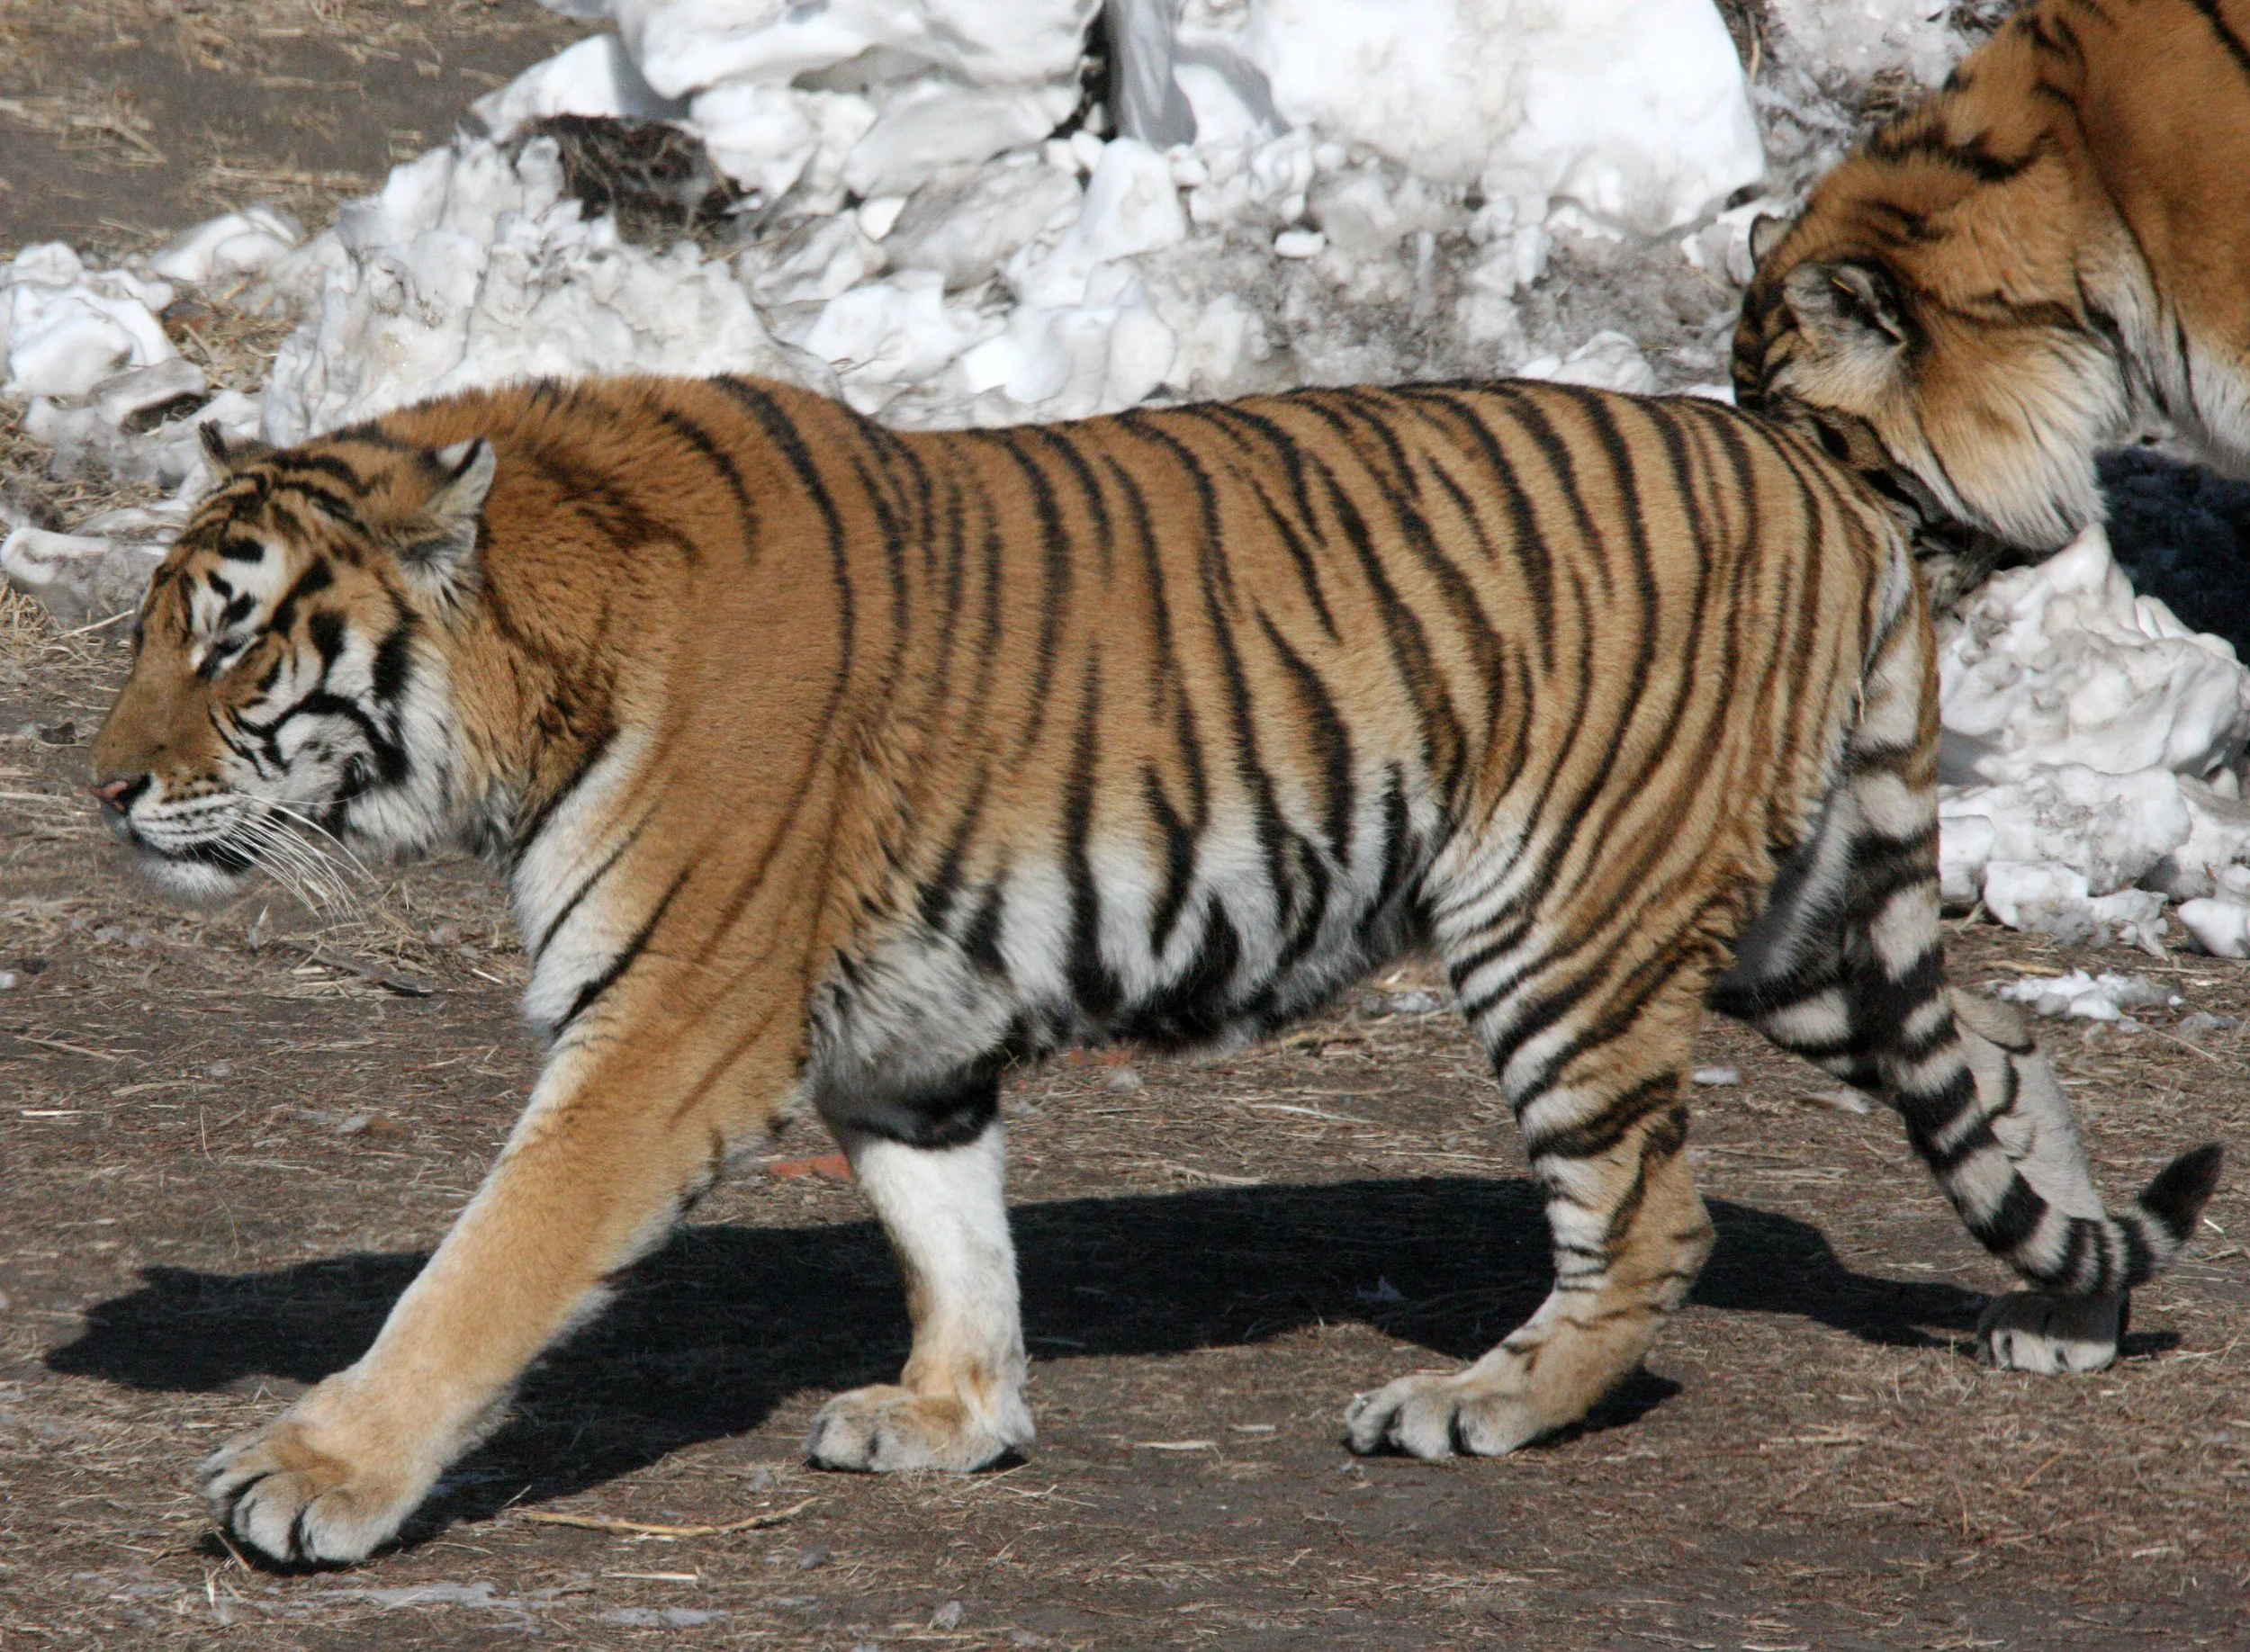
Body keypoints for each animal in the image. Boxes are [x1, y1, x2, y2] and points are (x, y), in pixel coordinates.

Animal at [86, 373, 2220, 1566]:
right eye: (150, 630)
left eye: (232, 639)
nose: (100, 787)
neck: (542, 658)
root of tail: (1828, 487)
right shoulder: (898, 1037)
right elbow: (952, 1232)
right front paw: (955, 1421)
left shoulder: (664, 1028)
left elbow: (479, 1272)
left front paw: (310, 1477)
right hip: (1801, 924)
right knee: (2001, 1059)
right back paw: (2067, 1317)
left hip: (1562, 917)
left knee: (1655, 1213)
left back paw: (1481, 1404)